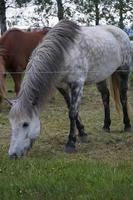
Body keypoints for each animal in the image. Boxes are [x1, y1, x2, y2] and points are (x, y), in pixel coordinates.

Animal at [8, 20, 132, 158]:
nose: (13, 155)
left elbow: (72, 112)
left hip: (124, 70)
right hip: (101, 76)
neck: (64, 53)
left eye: (25, 124)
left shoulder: (77, 84)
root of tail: (121, 32)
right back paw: (106, 126)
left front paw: (71, 143)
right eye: (11, 123)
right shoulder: (61, 86)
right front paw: (82, 134)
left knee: (123, 96)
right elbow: (71, 108)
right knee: (105, 97)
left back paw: (127, 125)